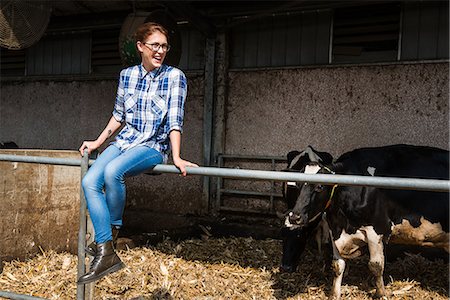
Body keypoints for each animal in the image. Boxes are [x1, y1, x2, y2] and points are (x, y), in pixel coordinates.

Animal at [284, 144, 448, 298]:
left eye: (319, 186)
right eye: (297, 185)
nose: (294, 217)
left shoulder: (376, 229)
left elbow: (376, 266)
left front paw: (381, 294)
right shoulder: (334, 228)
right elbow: (337, 265)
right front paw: (334, 294)